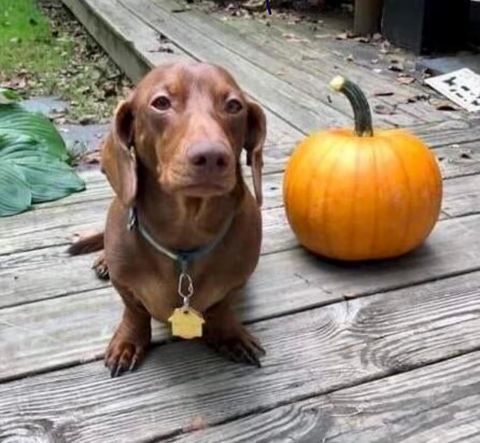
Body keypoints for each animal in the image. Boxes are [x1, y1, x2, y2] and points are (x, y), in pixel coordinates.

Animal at [70, 60, 268, 376]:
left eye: (234, 105)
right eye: (161, 103)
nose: (212, 157)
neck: (185, 232)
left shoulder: (236, 282)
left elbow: (223, 306)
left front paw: (229, 334)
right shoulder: (125, 287)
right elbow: (134, 312)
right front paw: (129, 342)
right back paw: (103, 261)